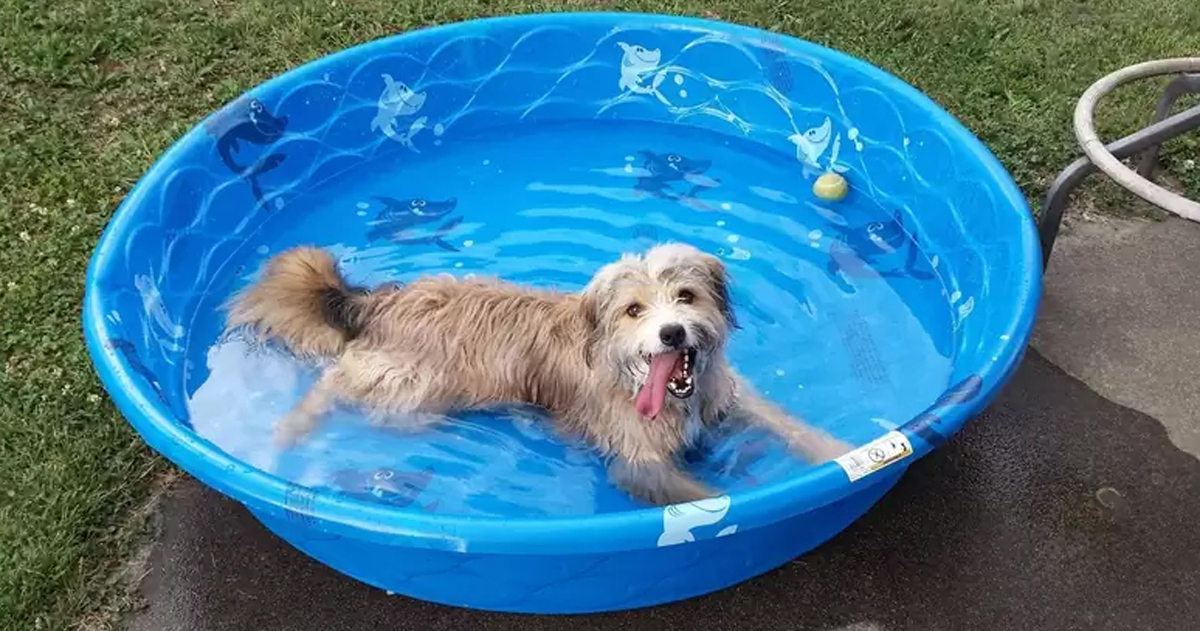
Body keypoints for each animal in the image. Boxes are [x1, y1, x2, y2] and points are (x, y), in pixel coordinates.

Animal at [225, 244, 844, 506]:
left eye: (686, 297)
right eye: (634, 310)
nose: (673, 334)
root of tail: (380, 302)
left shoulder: (726, 396)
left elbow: (786, 422)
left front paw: (837, 452)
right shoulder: (639, 464)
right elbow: (701, 493)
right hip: (412, 390)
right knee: (336, 379)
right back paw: (287, 429)